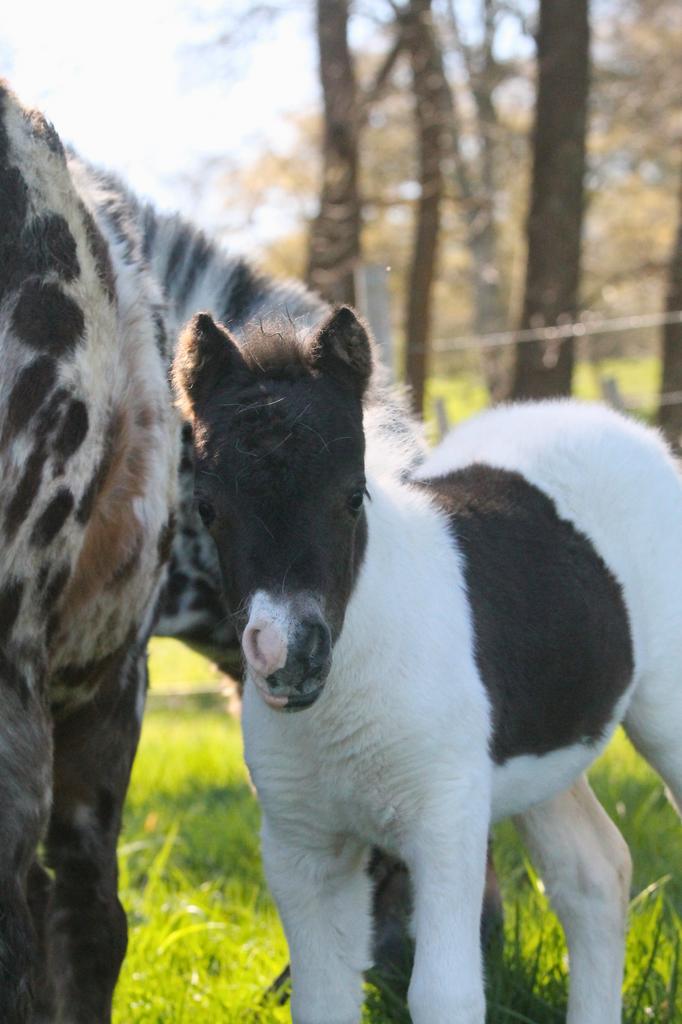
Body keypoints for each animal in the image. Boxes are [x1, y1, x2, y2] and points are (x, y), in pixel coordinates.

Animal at [173, 303, 682, 1024]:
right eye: (208, 509)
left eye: (352, 496)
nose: (289, 656)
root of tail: (633, 433)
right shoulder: (302, 846)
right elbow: (322, 999)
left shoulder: (444, 820)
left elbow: (444, 993)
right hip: (544, 750)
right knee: (595, 873)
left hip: (665, 711)